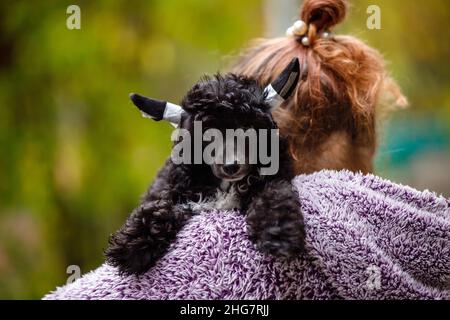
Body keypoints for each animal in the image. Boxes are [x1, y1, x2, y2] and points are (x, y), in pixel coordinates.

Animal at [105, 58, 306, 276]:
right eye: (208, 133)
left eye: (248, 128)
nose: (231, 166)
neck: (223, 185)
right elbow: (161, 206)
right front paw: (135, 243)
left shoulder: (272, 179)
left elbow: (274, 193)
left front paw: (278, 232)